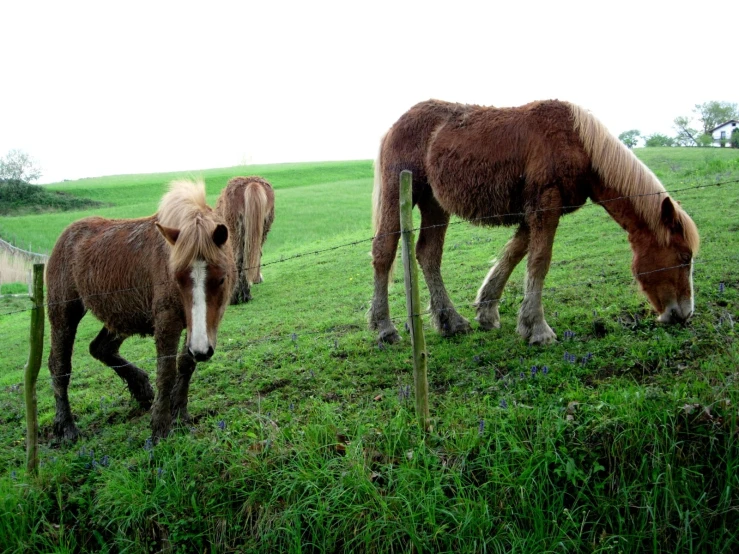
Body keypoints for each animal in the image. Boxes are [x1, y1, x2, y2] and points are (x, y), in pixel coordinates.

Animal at [46, 177, 236, 440]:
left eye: (221, 278)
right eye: (177, 279)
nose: (201, 350)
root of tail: (66, 236)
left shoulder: (202, 326)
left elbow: (185, 364)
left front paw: (180, 414)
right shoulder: (168, 320)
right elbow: (166, 370)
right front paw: (161, 427)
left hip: (120, 316)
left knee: (100, 348)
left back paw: (141, 388)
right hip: (64, 314)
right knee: (60, 366)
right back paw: (66, 426)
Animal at [370, 98, 700, 340]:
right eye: (684, 258)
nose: (684, 314)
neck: (578, 143)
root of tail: (395, 124)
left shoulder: (534, 212)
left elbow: (514, 255)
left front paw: (487, 312)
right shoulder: (545, 205)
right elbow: (539, 262)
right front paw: (537, 329)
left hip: (434, 204)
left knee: (428, 254)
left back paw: (450, 321)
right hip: (399, 195)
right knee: (384, 252)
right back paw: (384, 327)